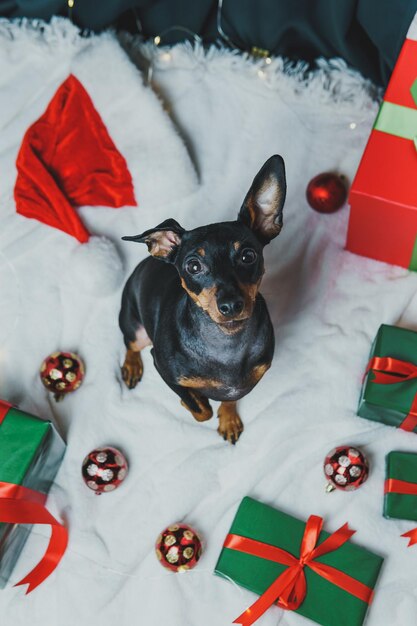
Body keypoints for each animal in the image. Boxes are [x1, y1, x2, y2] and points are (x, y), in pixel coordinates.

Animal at [118, 154, 284, 442]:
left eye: (248, 256)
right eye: (193, 266)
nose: (231, 305)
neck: (226, 343)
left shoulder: (244, 384)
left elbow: (227, 399)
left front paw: (228, 419)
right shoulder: (162, 368)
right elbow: (200, 409)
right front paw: (191, 402)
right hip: (135, 329)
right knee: (131, 344)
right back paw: (131, 366)